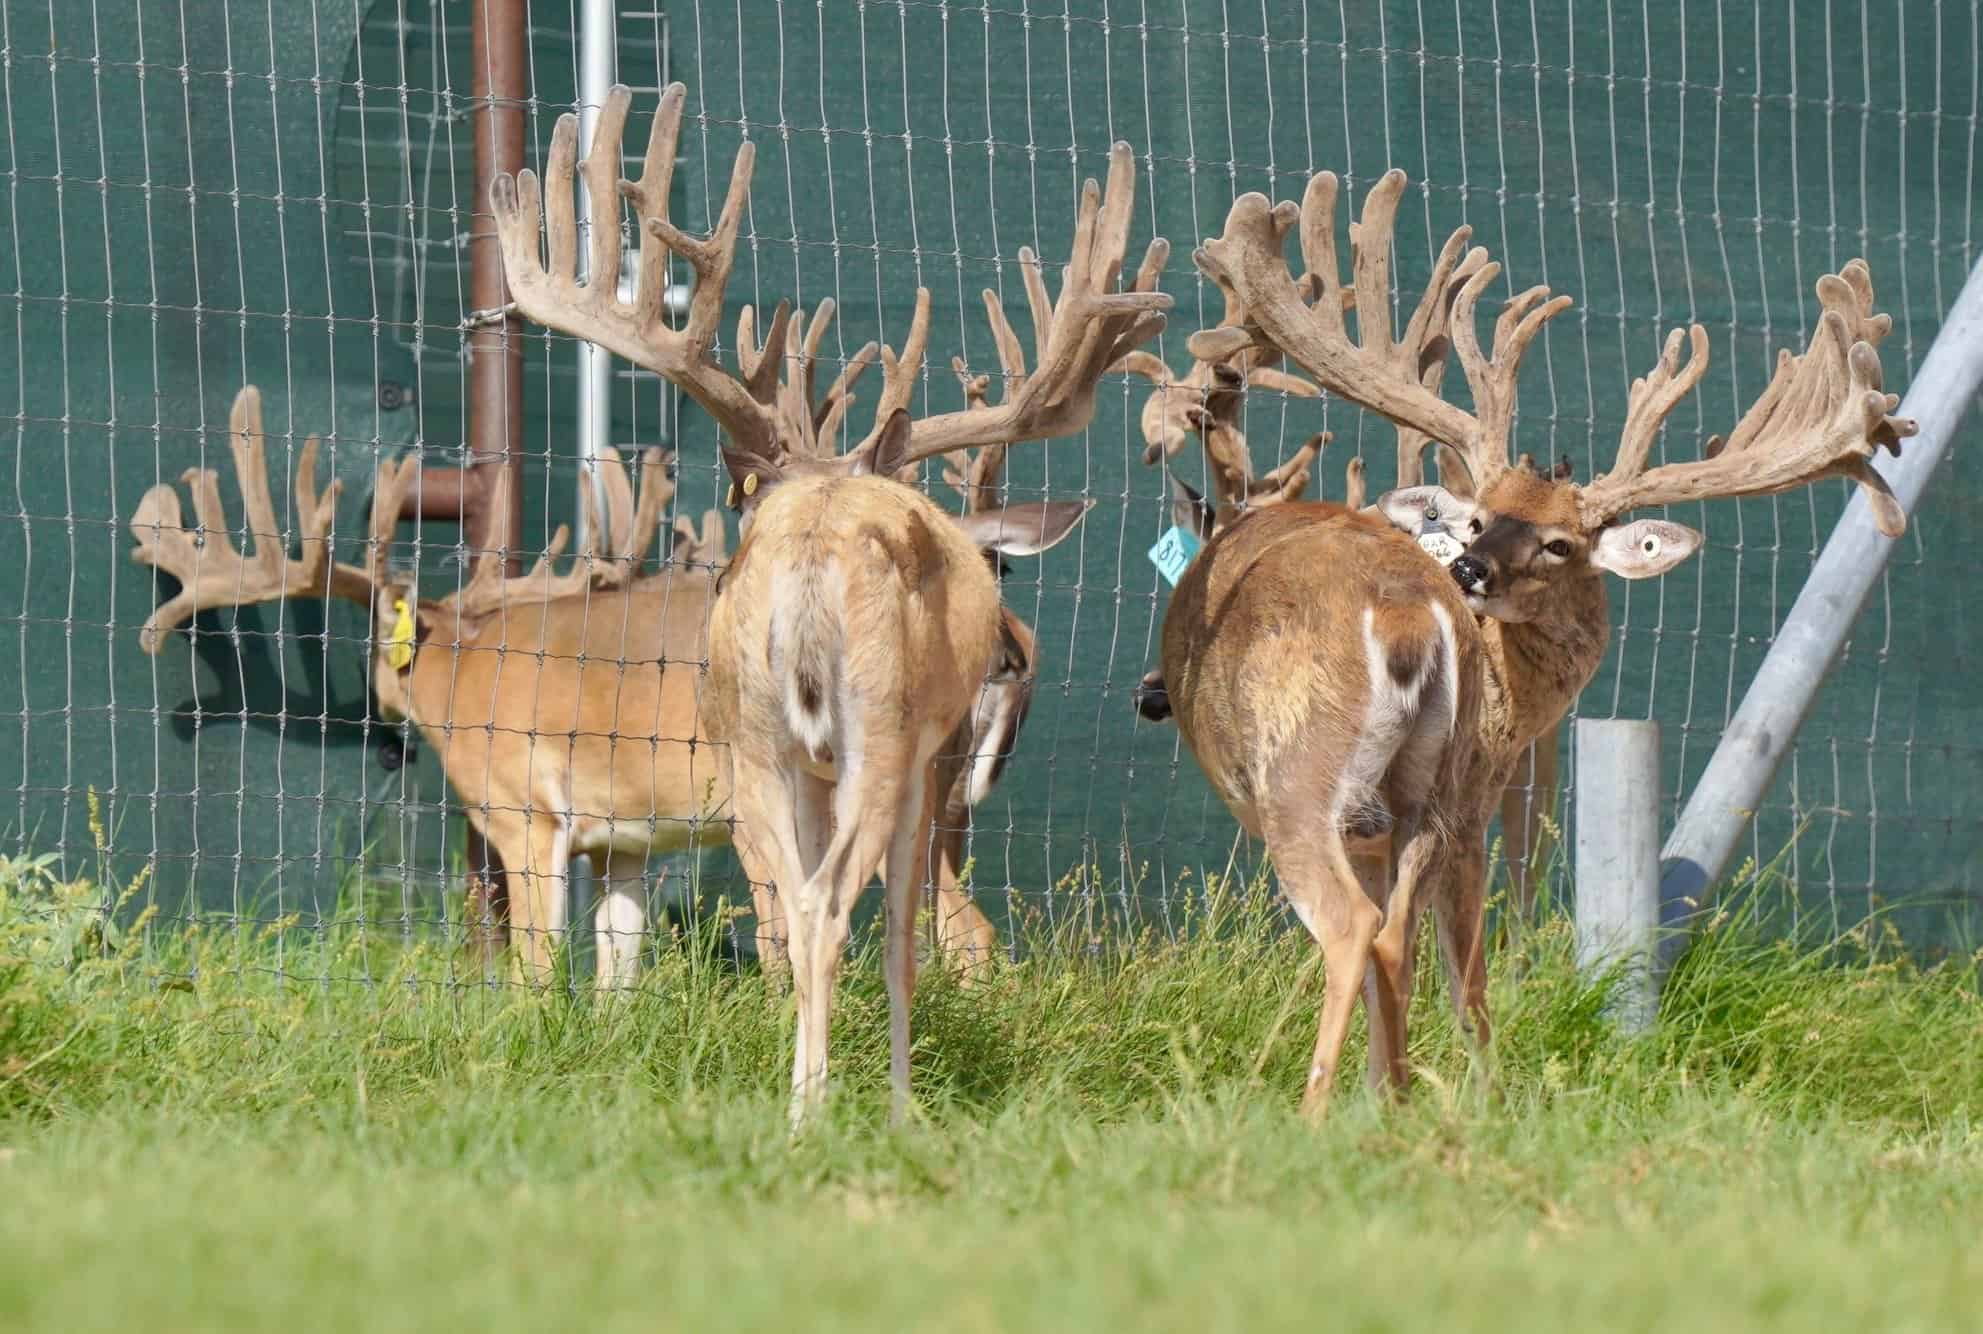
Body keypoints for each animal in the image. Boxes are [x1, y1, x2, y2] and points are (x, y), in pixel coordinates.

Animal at [489, 80, 1172, 1122]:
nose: (1011, 652)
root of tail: (813, 548)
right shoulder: (932, 765)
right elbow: (906, 935)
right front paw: (896, 1097)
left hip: (756, 743)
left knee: (803, 905)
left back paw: (800, 1099)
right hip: (881, 731)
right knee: (851, 904)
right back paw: (830, 1109)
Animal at [1148, 168, 1912, 1108]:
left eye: (1561, 544)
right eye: (1478, 516)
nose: (1471, 569)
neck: (1512, 708)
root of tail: (1404, 614)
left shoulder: (1460, 806)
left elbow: (1452, 966)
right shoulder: (1456, 805)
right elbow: (1449, 965)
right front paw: (1429, 1091)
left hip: (1303, 774)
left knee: (1353, 927)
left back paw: (1319, 1109)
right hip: (1413, 796)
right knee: (1390, 939)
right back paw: (1389, 1098)